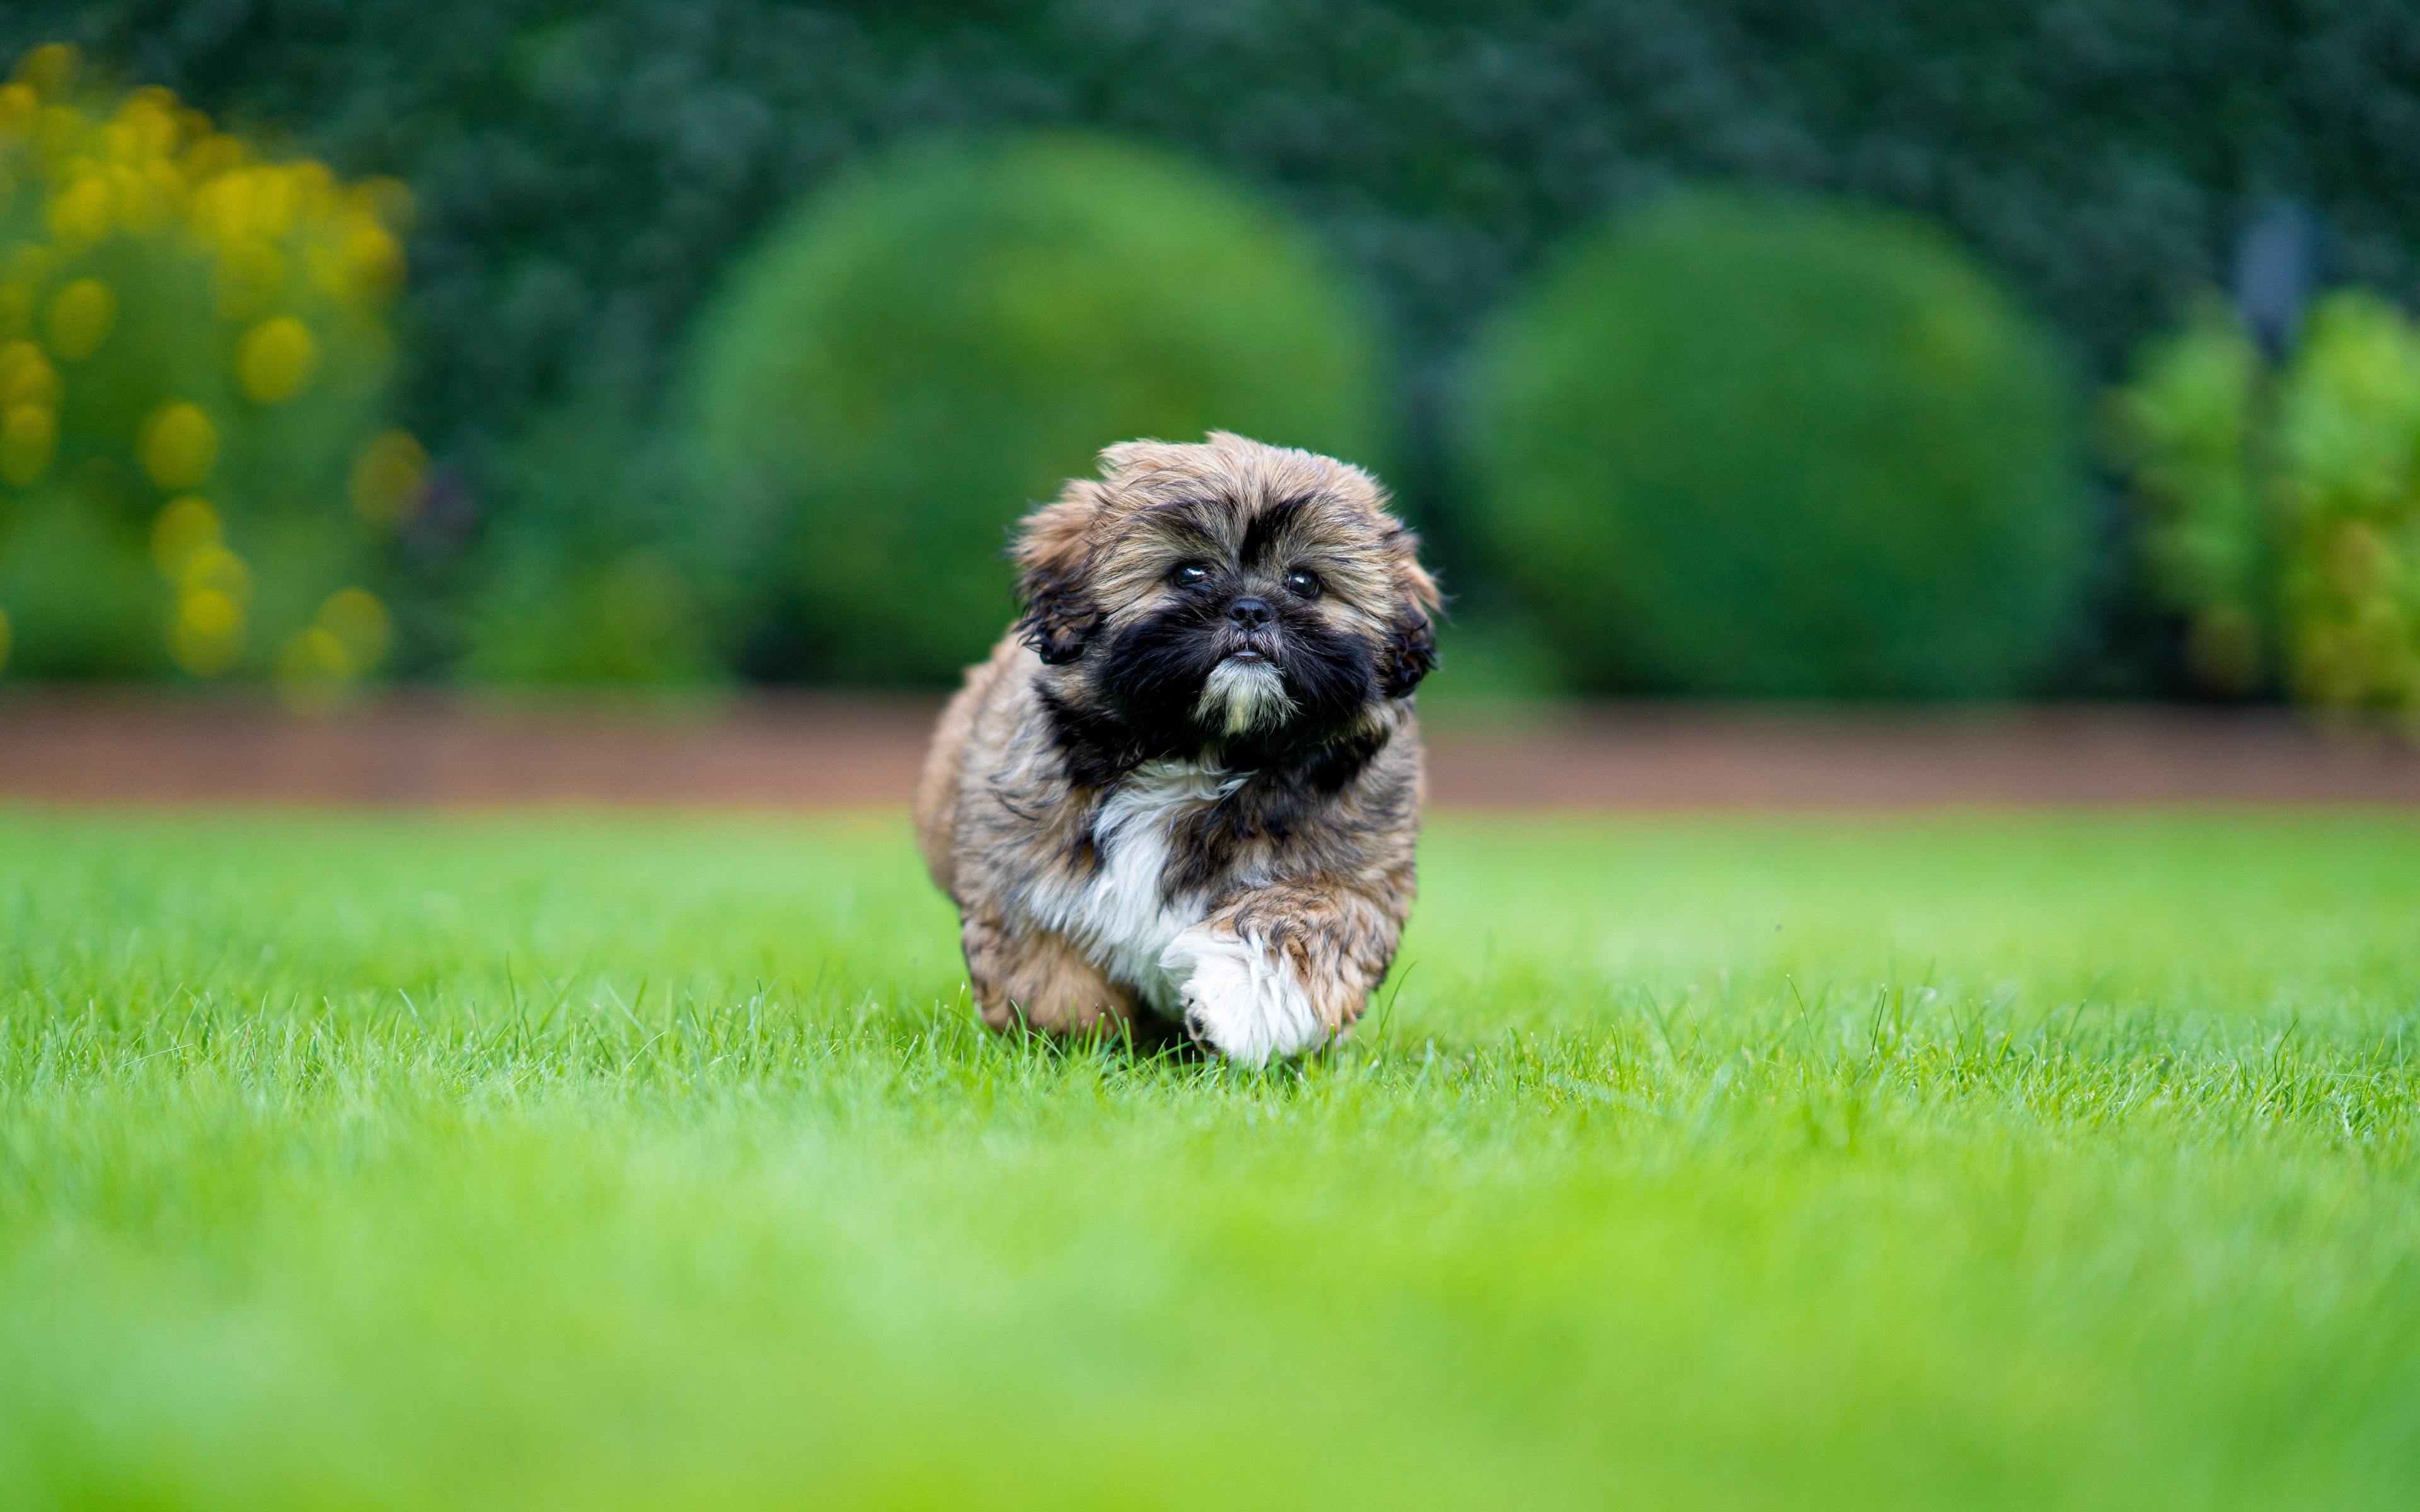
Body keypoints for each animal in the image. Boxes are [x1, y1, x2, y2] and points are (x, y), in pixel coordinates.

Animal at [909, 425, 1432, 1059]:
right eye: (1189, 575)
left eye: (1305, 584)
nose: (1251, 609)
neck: (1198, 753)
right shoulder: (1017, 872)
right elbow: (1049, 975)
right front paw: (1074, 1043)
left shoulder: (1350, 880)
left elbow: (1297, 929)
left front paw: (1232, 1004)